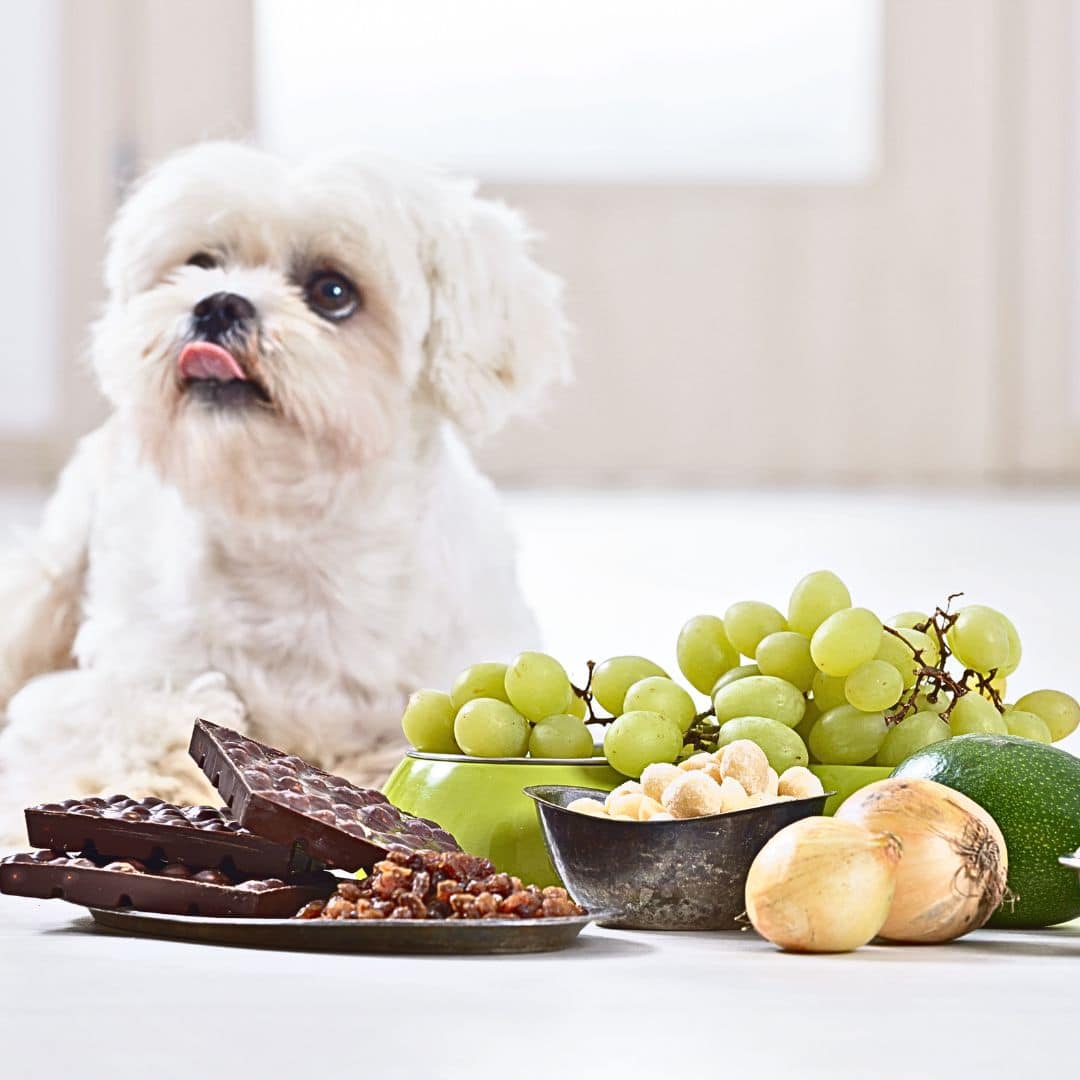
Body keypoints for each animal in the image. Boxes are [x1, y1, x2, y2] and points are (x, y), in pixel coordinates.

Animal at [0, 139, 570, 842]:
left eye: (333, 291)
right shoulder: (122, 680)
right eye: (201, 262)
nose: (219, 303)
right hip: (46, 584)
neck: (294, 542)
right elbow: (134, 723)